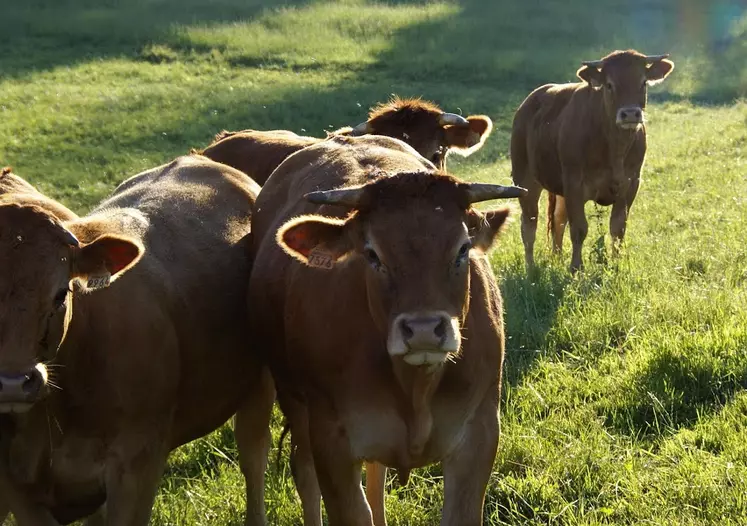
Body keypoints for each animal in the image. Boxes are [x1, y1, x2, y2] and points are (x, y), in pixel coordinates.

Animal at [0, 158, 274, 526]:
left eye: (60, 294)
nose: (13, 384)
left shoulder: (137, 466)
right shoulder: (18, 490)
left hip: (258, 386)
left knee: (253, 457)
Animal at [248, 136, 524, 526]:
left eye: (463, 249)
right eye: (372, 254)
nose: (423, 329)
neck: (416, 388)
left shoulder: (479, 435)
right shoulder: (331, 442)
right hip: (293, 402)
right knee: (305, 473)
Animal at [512, 49, 676, 272]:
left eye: (643, 82)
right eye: (609, 84)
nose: (630, 114)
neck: (614, 148)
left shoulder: (631, 183)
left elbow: (618, 228)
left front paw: (616, 263)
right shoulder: (574, 183)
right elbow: (579, 229)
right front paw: (576, 268)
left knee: (558, 221)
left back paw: (557, 258)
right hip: (525, 180)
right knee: (529, 224)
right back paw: (530, 268)